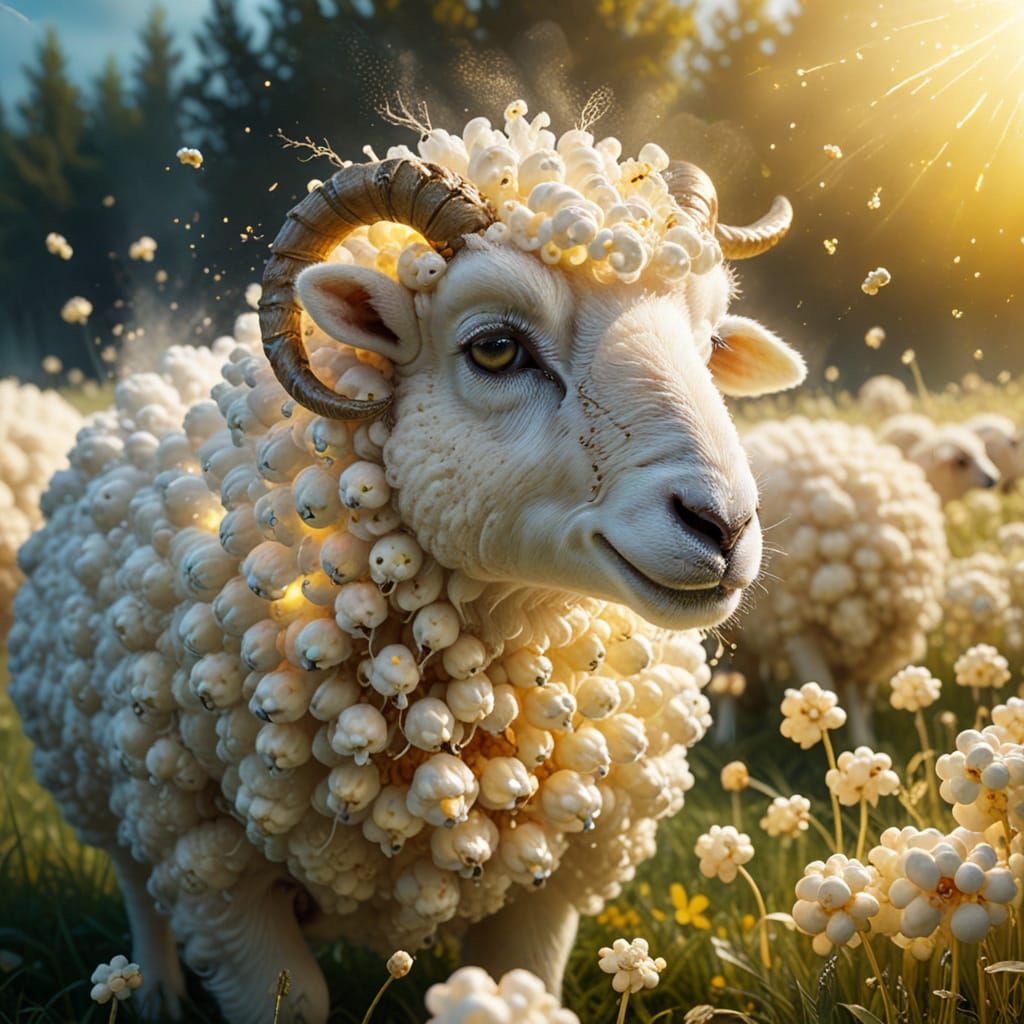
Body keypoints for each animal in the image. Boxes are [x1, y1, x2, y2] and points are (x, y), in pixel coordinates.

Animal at [9, 100, 806, 1024]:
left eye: (711, 344)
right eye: (495, 348)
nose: (722, 524)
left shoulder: (549, 893)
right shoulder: (215, 878)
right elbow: (290, 999)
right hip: (114, 795)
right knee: (139, 892)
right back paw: (158, 994)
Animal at [734, 417, 947, 745]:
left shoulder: (875, 645)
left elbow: (859, 698)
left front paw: (863, 741)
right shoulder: (800, 629)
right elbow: (823, 687)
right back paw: (725, 735)